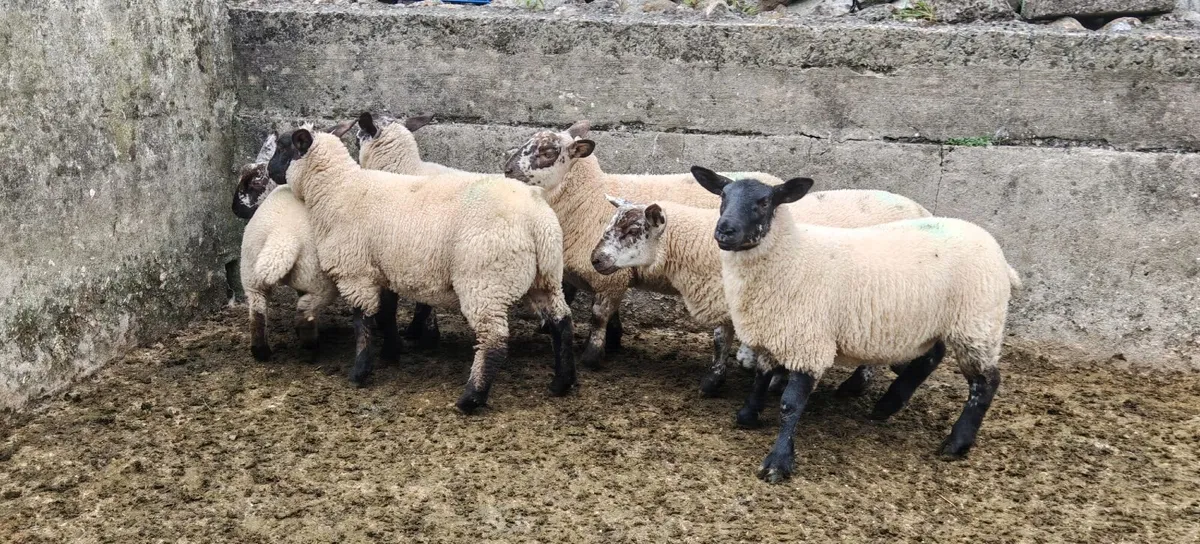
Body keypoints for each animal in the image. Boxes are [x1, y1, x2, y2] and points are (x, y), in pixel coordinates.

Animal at [266, 127, 576, 413]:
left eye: (282, 147)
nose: (269, 171)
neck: (337, 189)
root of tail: (537, 218)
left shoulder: (356, 273)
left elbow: (362, 323)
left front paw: (360, 371)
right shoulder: (384, 270)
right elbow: (386, 314)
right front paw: (392, 353)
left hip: (485, 282)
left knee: (494, 341)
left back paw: (471, 398)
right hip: (545, 278)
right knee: (562, 322)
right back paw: (562, 383)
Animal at [502, 122, 785, 369]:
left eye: (548, 152)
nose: (506, 170)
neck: (588, 197)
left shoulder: (608, 277)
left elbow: (598, 316)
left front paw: (592, 356)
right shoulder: (612, 271)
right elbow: (610, 313)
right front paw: (614, 342)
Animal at [590, 186, 930, 400]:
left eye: (633, 231)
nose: (595, 259)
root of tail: (923, 209)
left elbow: (722, 340)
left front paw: (716, 381)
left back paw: (857, 385)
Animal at [689, 166, 1021, 483]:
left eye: (764, 202)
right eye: (723, 196)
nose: (724, 230)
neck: (791, 256)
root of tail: (997, 252)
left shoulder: (809, 343)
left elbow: (790, 405)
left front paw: (778, 462)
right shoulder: (776, 331)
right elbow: (760, 377)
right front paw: (748, 414)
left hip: (977, 323)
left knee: (986, 382)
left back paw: (957, 442)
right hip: (928, 322)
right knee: (931, 357)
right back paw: (886, 405)